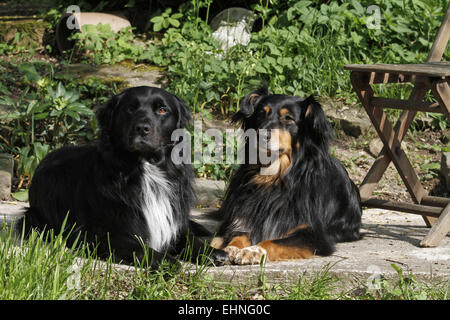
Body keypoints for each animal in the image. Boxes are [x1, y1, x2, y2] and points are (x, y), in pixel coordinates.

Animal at [18, 85, 227, 268]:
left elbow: (189, 239)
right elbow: (140, 247)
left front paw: (211, 252)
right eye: (130, 108)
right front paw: (165, 260)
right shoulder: (98, 234)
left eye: (162, 110)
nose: (142, 128)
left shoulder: (172, 222)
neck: (146, 169)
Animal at [211, 85, 362, 264]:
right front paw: (230, 248)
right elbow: (238, 235)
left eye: (288, 118)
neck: (273, 177)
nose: (261, 135)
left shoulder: (313, 234)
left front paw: (254, 251)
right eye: (261, 114)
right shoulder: (243, 217)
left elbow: (274, 241)